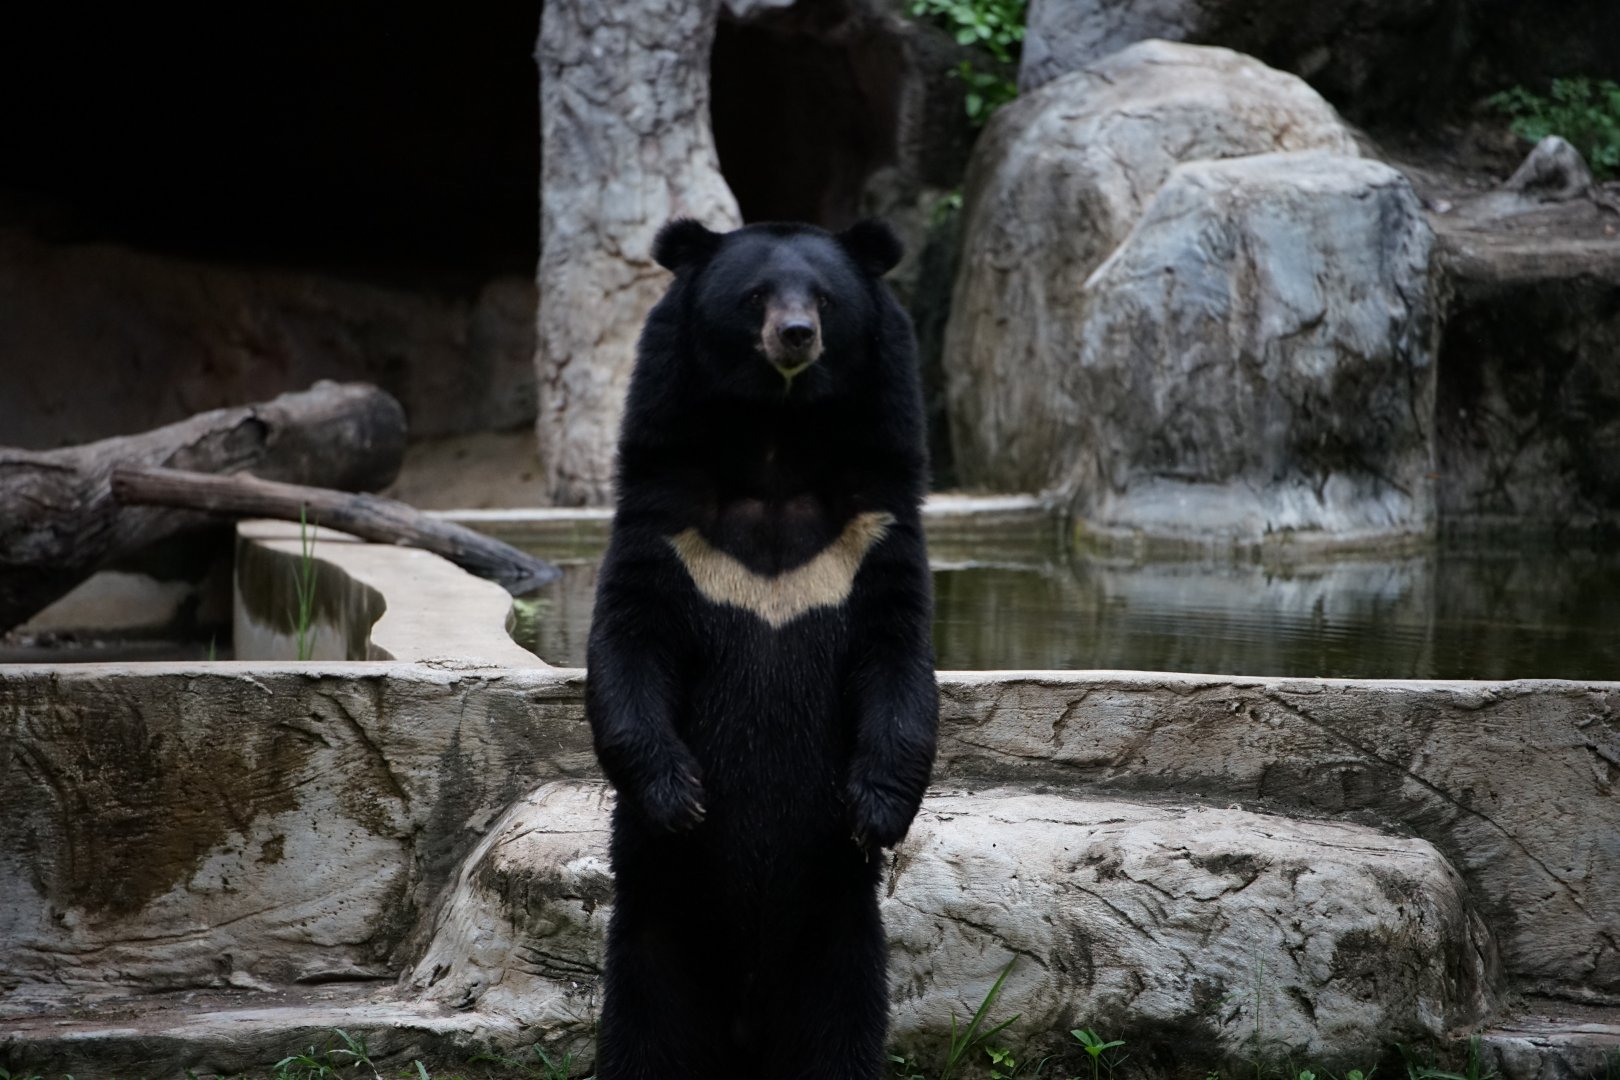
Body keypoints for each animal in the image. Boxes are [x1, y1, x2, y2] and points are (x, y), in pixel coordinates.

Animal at [585, 218, 939, 1080]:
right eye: (755, 296)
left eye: (825, 298)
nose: (796, 336)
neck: (777, 438)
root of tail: (746, 1027)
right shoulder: (668, 519)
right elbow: (630, 643)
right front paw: (681, 797)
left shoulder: (873, 526)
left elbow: (897, 656)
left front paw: (877, 811)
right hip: (659, 919)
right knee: (645, 1021)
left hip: (839, 928)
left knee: (844, 1019)